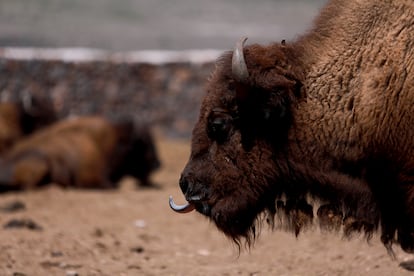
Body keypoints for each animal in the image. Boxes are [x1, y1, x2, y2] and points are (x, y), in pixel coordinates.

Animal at [0, 115, 160, 192]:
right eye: (144, 144)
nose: (158, 164)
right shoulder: (93, 179)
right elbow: (110, 186)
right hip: (41, 162)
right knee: (29, 187)